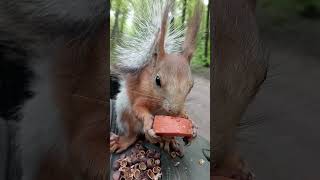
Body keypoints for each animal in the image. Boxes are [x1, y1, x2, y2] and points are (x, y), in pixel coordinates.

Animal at [110, 0, 204, 155]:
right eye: (157, 80)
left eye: (192, 85)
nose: (174, 111)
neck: (160, 105)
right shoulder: (140, 95)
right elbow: (138, 108)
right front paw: (149, 123)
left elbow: (184, 114)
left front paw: (191, 124)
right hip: (124, 111)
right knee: (133, 133)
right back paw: (127, 140)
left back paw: (169, 141)